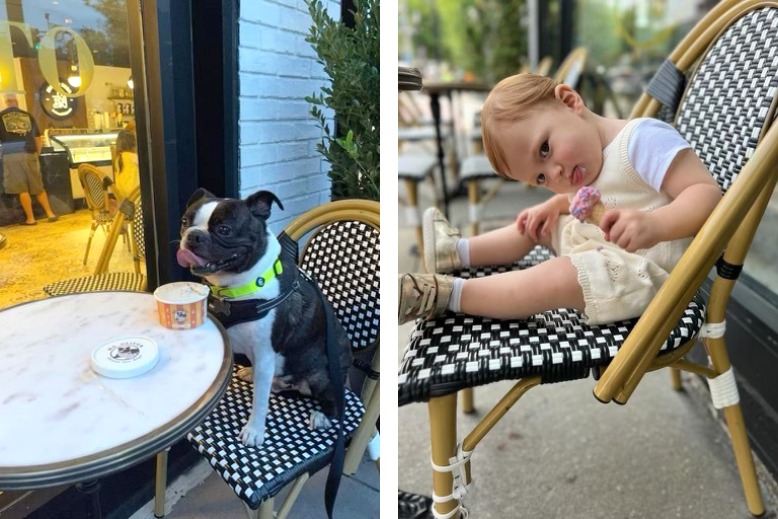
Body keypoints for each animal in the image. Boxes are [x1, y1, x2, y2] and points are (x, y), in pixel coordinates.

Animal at [177, 189, 350, 448]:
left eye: (224, 230)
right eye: (185, 222)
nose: (194, 236)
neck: (239, 289)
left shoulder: (265, 354)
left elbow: (260, 401)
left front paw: (254, 431)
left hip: (323, 374)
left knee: (336, 400)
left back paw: (323, 416)